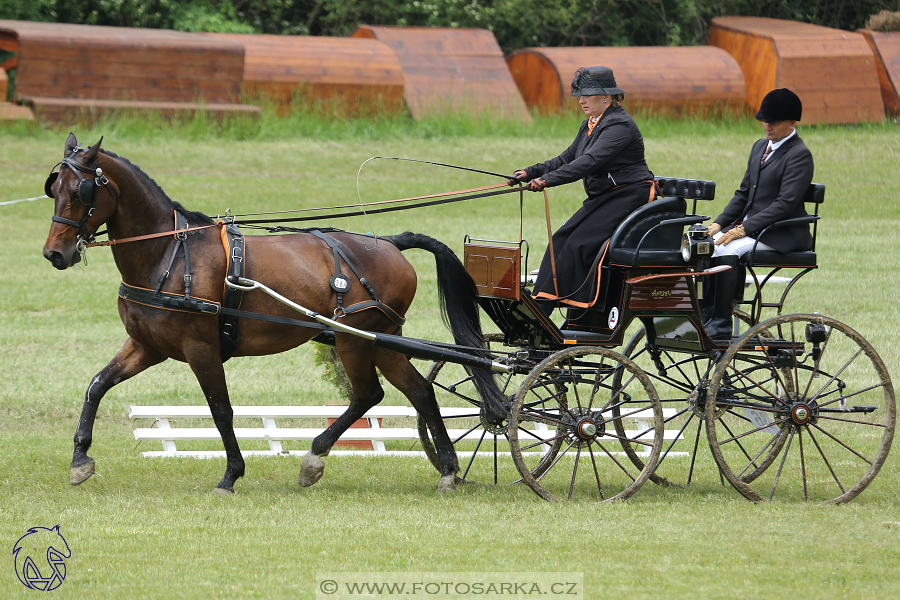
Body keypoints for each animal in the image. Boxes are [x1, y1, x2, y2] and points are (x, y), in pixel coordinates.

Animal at [44, 134, 506, 494]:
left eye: (82, 191)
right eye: (54, 187)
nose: (54, 254)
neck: (169, 254)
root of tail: (391, 242)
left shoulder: (200, 347)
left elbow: (221, 409)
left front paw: (231, 475)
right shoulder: (147, 346)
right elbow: (97, 385)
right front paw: (80, 459)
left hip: (355, 339)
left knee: (368, 395)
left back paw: (315, 459)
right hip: (381, 341)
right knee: (419, 392)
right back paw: (447, 470)